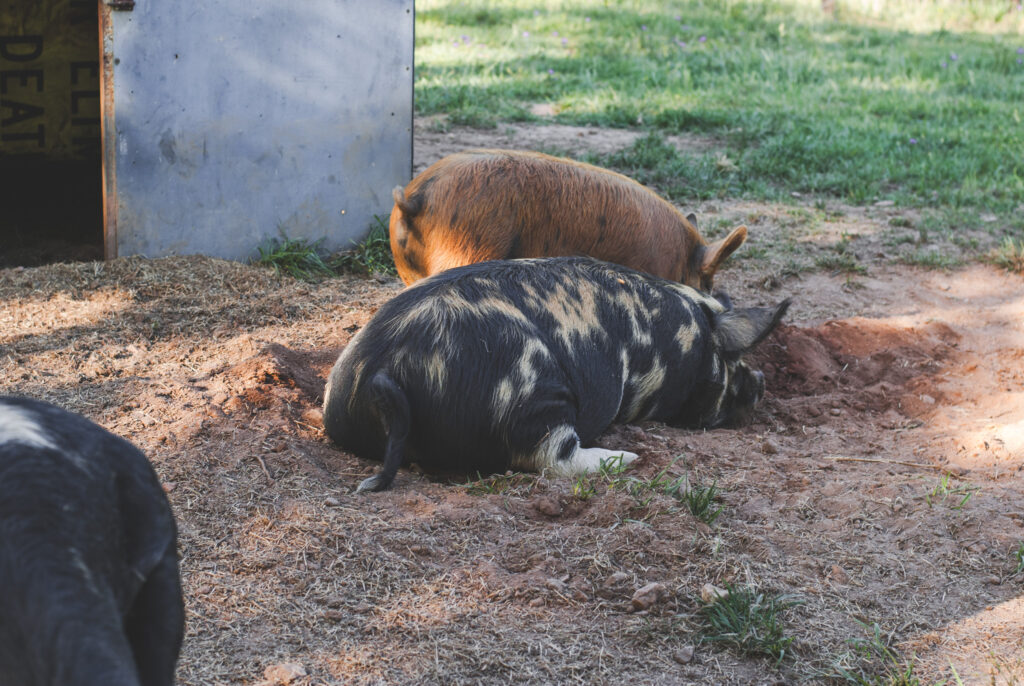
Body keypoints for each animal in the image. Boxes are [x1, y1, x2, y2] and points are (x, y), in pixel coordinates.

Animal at [323, 258, 786, 495]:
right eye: (734, 359)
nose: (762, 381)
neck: (696, 329)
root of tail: (382, 366)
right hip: (531, 386)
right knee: (548, 457)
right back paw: (629, 458)